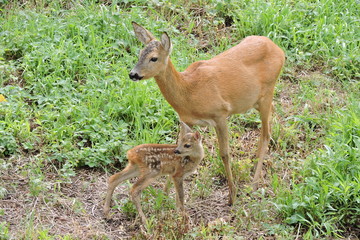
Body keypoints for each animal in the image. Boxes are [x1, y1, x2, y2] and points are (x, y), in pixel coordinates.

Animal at [129, 22, 284, 204]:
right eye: (140, 53)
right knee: (270, 117)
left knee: (266, 133)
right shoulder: (185, 120)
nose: (133, 74)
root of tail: (278, 49)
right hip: (258, 100)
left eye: (153, 58)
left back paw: (253, 183)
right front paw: (164, 196)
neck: (189, 91)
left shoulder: (220, 114)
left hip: (268, 90)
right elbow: (176, 150)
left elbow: (224, 154)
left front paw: (232, 195)